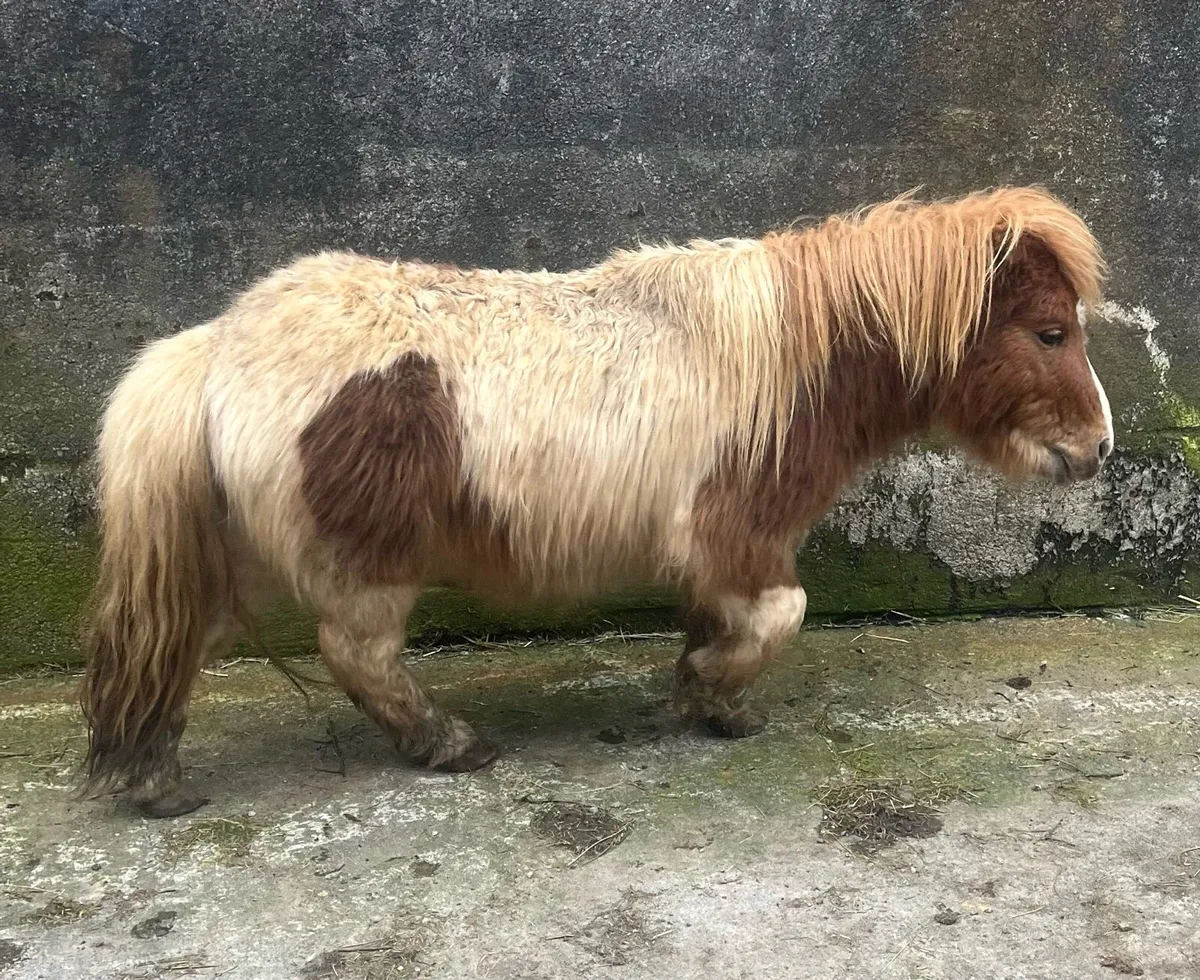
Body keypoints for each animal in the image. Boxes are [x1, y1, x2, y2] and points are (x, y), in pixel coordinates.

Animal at [79, 187, 1113, 817]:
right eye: (1048, 332)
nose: (1099, 449)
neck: (792, 361)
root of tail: (220, 346)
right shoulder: (738, 536)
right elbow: (781, 615)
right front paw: (708, 693)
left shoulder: (715, 555)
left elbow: (718, 621)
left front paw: (710, 700)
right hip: (361, 567)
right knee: (356, 656)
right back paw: (447, 744)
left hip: (241, 559)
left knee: (171, 640)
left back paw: (153, 777)